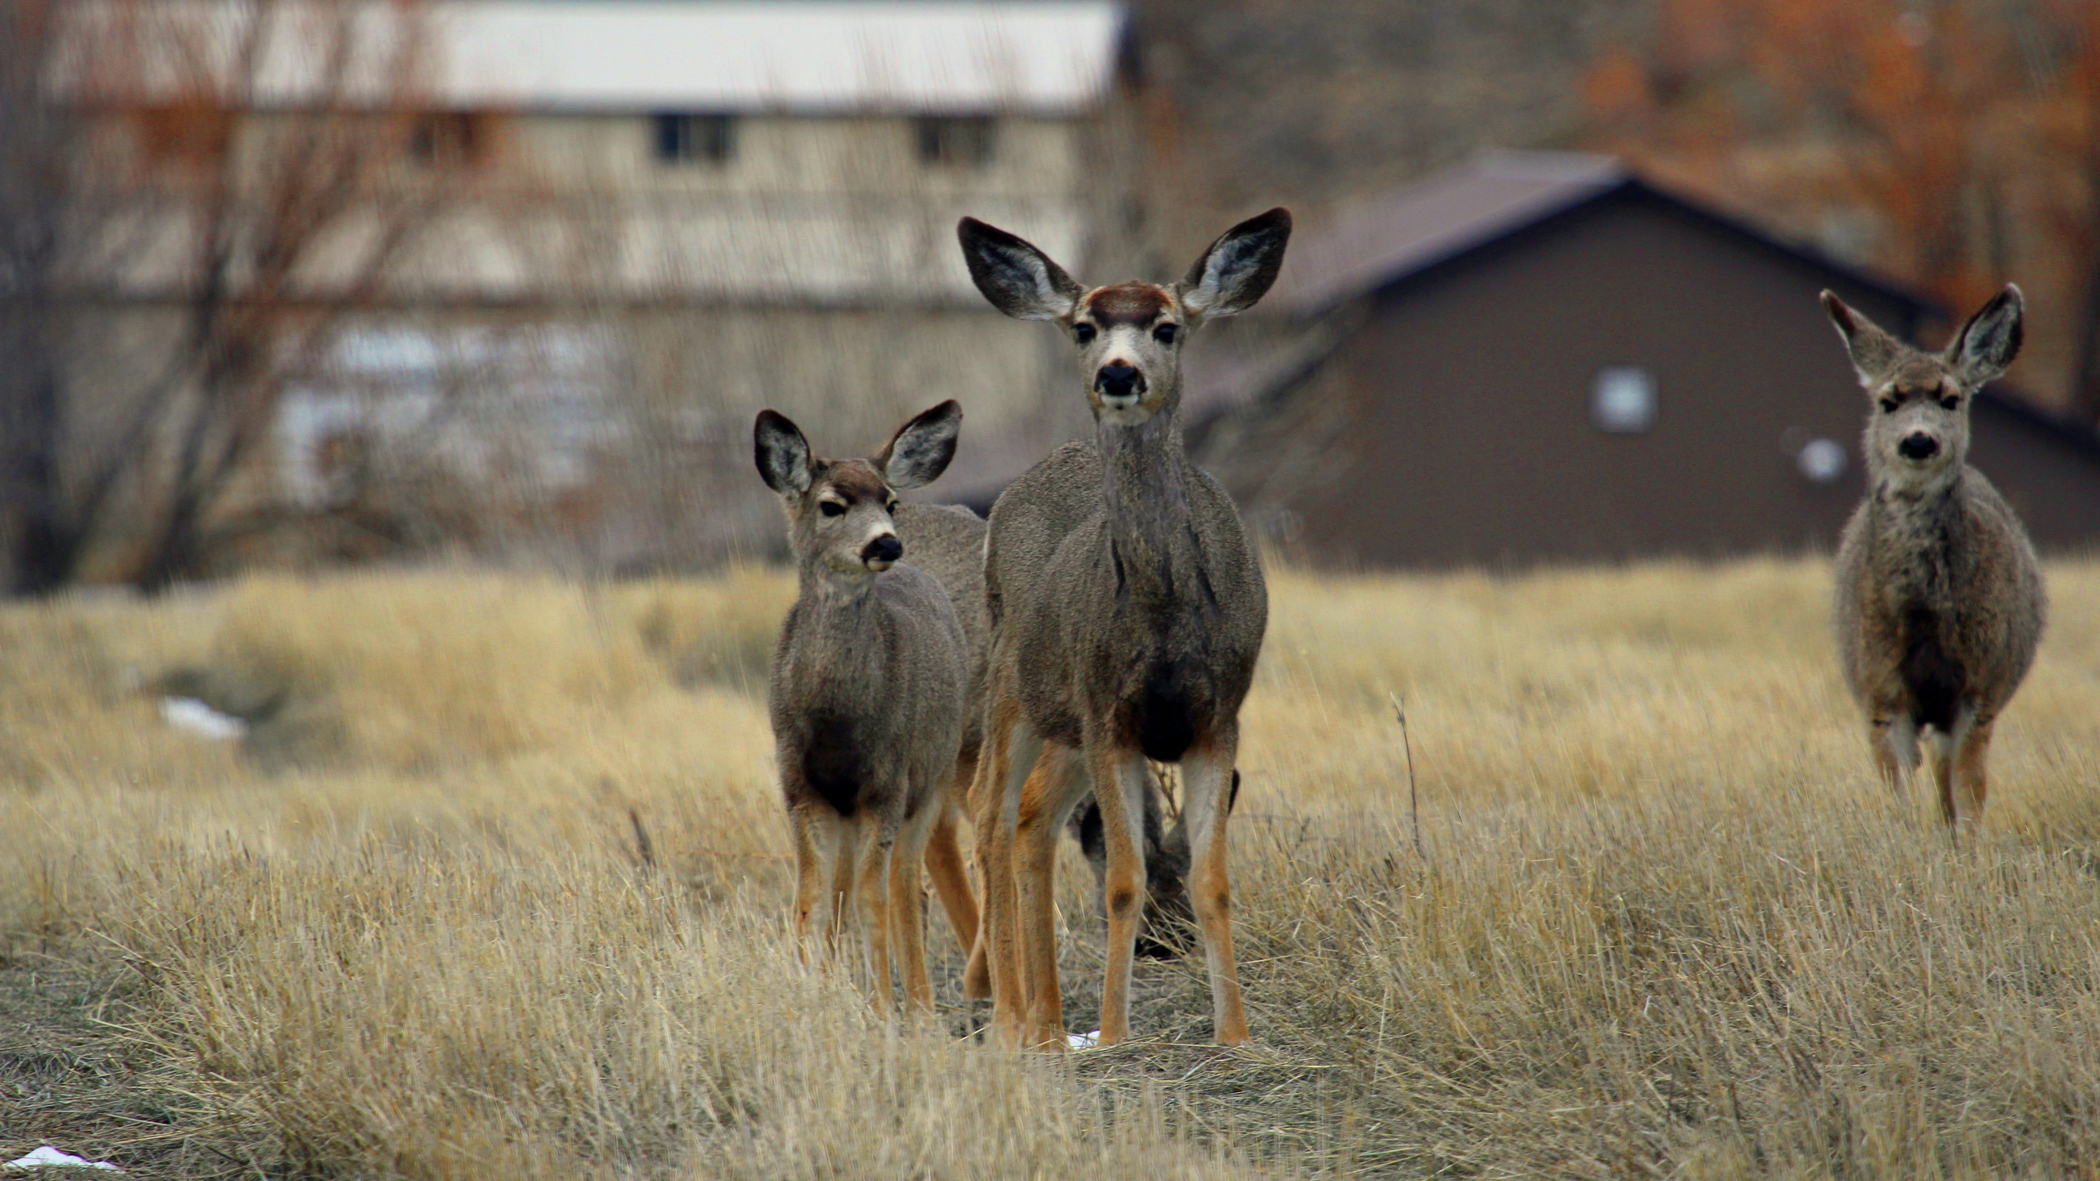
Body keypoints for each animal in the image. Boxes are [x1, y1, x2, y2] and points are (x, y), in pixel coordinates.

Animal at [760, 399, 978, 1008]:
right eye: (831, 505)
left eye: (890, 501)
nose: (886, 543)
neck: (836, 720)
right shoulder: (799, 784)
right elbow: (810, 897)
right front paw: (809, 993)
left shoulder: (887, 782)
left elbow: (875, 900)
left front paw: (883, 1006)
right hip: (850, 808)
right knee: (846, 885)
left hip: (933, 778)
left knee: (905, 885)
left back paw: (920, 1005)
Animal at [961, 206, 1285, 1042]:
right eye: (1083, 326)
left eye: (1168, 326)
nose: (1117, 373)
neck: (1166, 619)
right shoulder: (1110, 714)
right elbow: (1123, 878)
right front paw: (1112, 1033)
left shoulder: (1216, 715)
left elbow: (1210, 878)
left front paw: (1236, 1034)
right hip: (1014, 687)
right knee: (989, 810)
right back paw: (1008, 1013)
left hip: (1066, 724)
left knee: (1032, 816)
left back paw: (1045, 1020)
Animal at [1822, 285, 2049, 827]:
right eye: (1887, 401)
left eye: (1951, 398)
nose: (1919, 439)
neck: (1923, 615)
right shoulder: (1879, 689)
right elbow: (1895, 793)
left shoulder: (1980, 686)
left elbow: (1969, 791)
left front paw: (1964, 845)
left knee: (1949, 781)